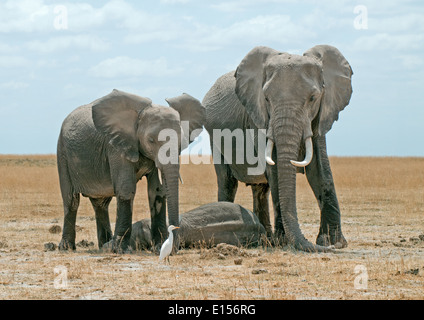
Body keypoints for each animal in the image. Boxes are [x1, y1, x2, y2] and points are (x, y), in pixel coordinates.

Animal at [57, 89, 205, 252]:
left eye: (181, 142)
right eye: (151, 140)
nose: (174, 247)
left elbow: (156, 191)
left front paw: (158, 246)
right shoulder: (116, 146)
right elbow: (126, 188)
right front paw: (119, 250)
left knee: (101, 204)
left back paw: (104, 245)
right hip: (62, 152)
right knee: (71, 200)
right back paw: (67, 247)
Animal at [204, 44, 352, 252]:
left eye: (313, 98)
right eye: (266, 98)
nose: (332, 248)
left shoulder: (320, 115)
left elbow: (320, 169)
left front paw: (333, 242)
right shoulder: (258, 116)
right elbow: (274, 169)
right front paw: (284, 242)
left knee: (260, 189)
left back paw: (265, 239)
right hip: (215, 137)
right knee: (227, 181)